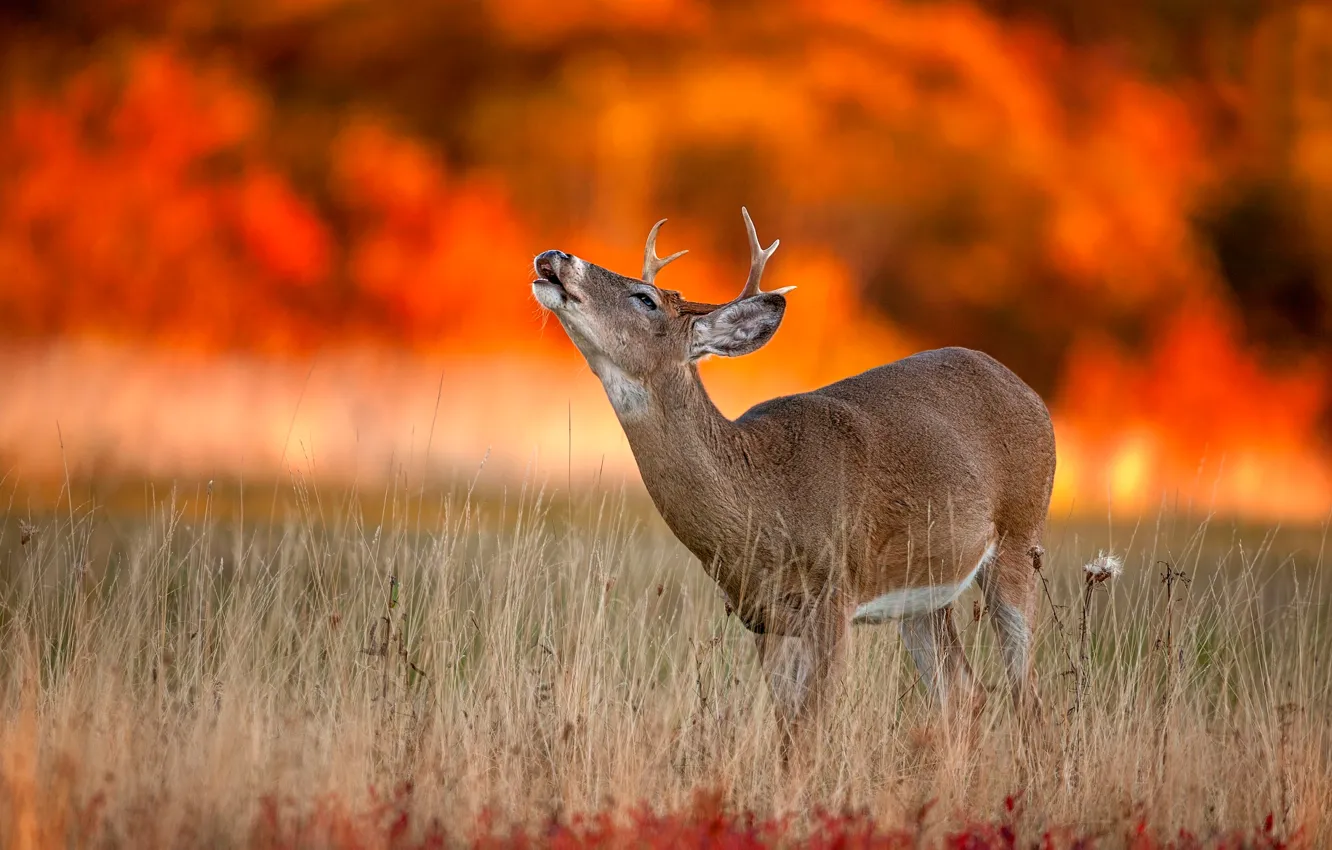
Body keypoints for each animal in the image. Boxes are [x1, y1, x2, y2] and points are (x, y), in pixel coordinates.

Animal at [531, 209, 1056, 763]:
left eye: (645, 298)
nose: (555, 257)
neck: (763, 499)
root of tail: (1029, 392)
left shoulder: (834, 593)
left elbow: (809, 732)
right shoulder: (761, 617)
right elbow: (789, 735)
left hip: (1020, 537)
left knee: (1027, 696)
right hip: (923, 592)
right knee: (964, 694)